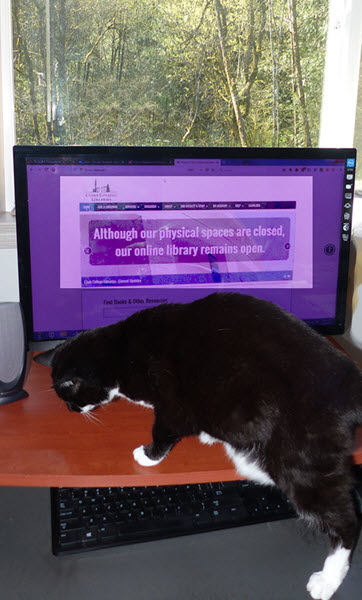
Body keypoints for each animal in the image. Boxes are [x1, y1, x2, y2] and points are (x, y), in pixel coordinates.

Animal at [36, 292, 362, 596]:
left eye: (68, 397)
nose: (71, 411)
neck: (120, 351)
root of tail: (351, 386)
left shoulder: (171, 403)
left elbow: (163, 431)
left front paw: (148, 456)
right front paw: (207, 436)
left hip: (300, 460)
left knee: (347, 521)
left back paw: (328, 580)